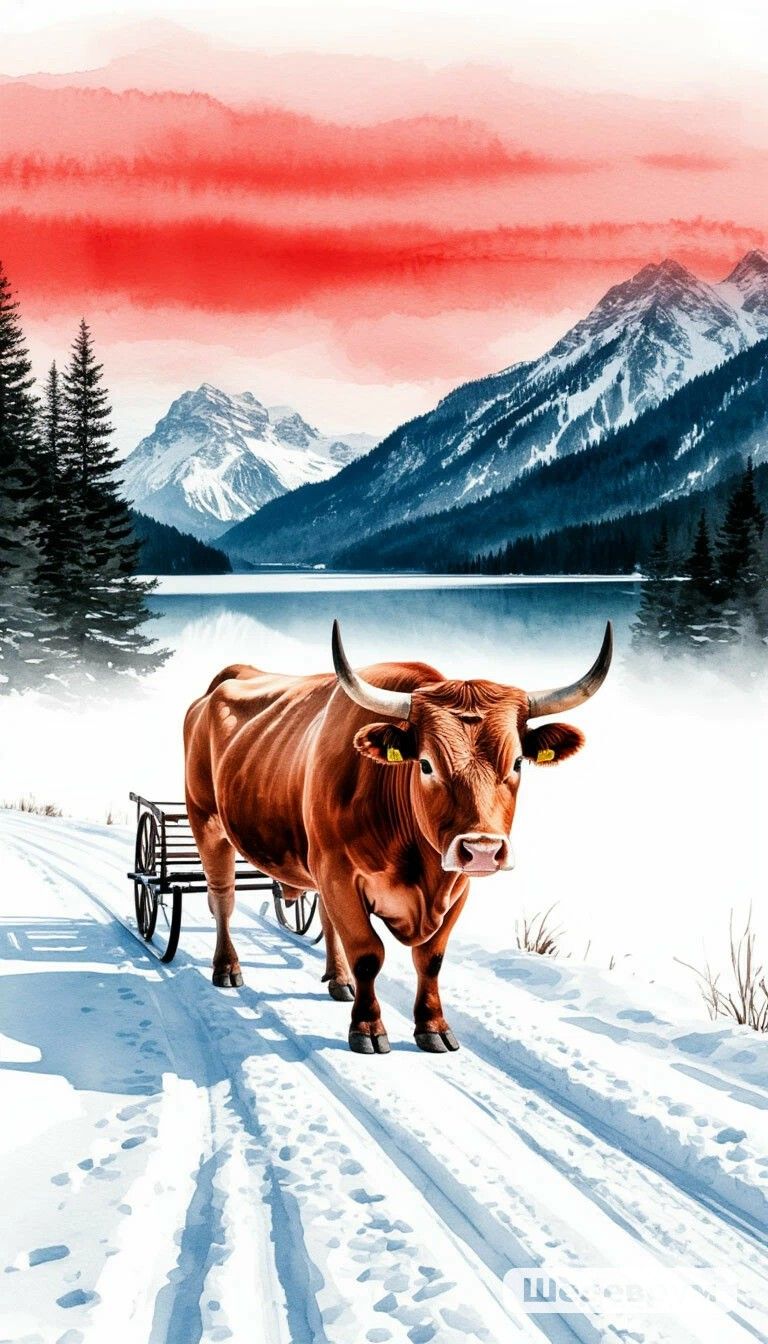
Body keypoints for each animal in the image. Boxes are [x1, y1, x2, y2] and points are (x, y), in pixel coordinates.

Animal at [183, 619, 612, 1054]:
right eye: (425, 764)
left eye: (518, 763)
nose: (482, 850)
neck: (421, 869)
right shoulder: (338, 873)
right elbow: (368, 952)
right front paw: (368, 1028)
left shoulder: (456, 887)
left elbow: (431, 958)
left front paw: (433, 1026)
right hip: (207, 823)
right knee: (223, 899)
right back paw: (227, 968)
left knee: (322, 917)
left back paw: (338, 980)